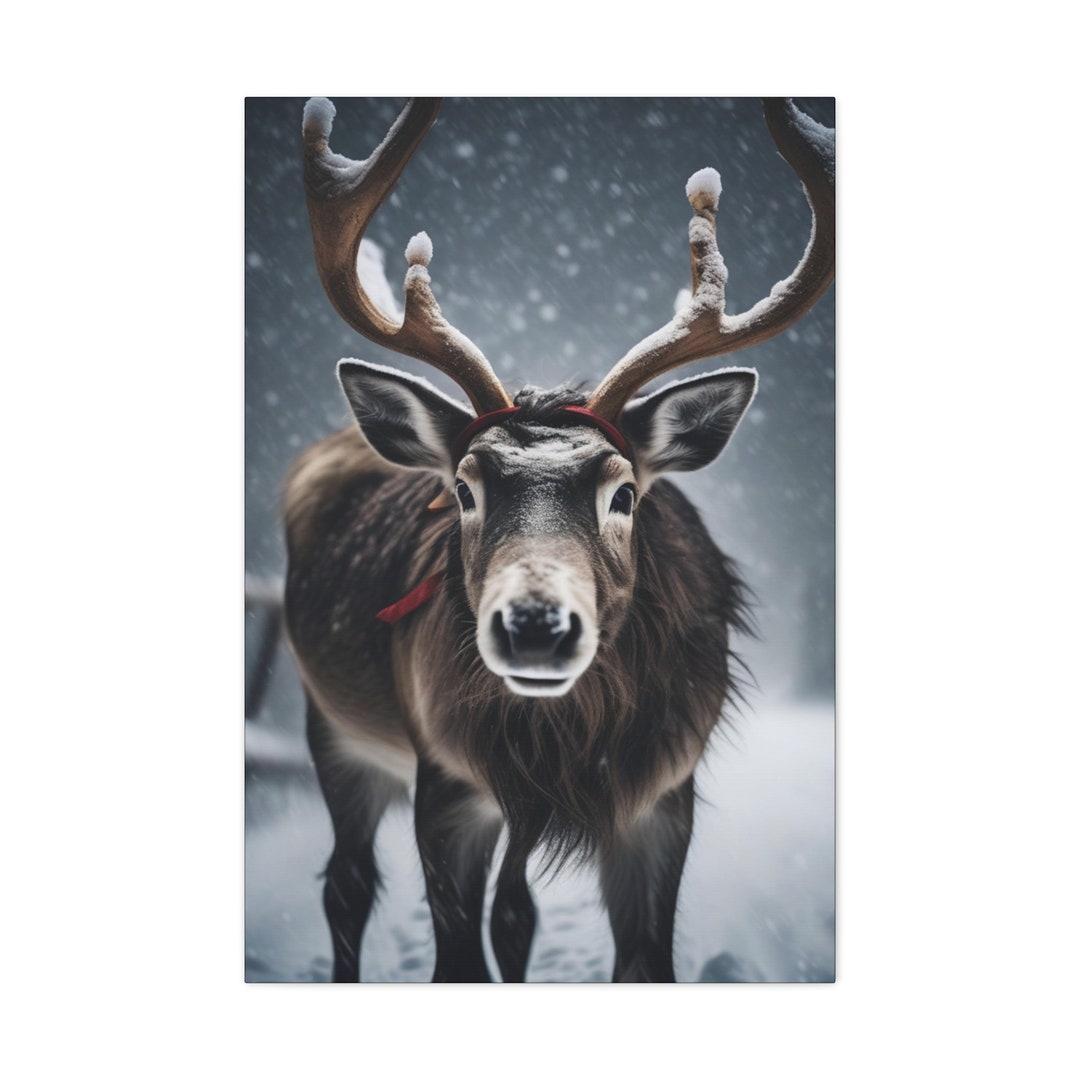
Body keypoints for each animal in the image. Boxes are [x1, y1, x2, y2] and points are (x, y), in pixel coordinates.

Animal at [282, 97, 834, 982]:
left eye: (625, 492)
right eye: (462, 488)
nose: (535, 626)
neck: (569, 749)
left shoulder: (665, 793)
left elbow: (644, 961)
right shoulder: (445, 777)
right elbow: (453, 961)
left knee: (515, 910)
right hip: (331, 725)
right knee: (347, 884)